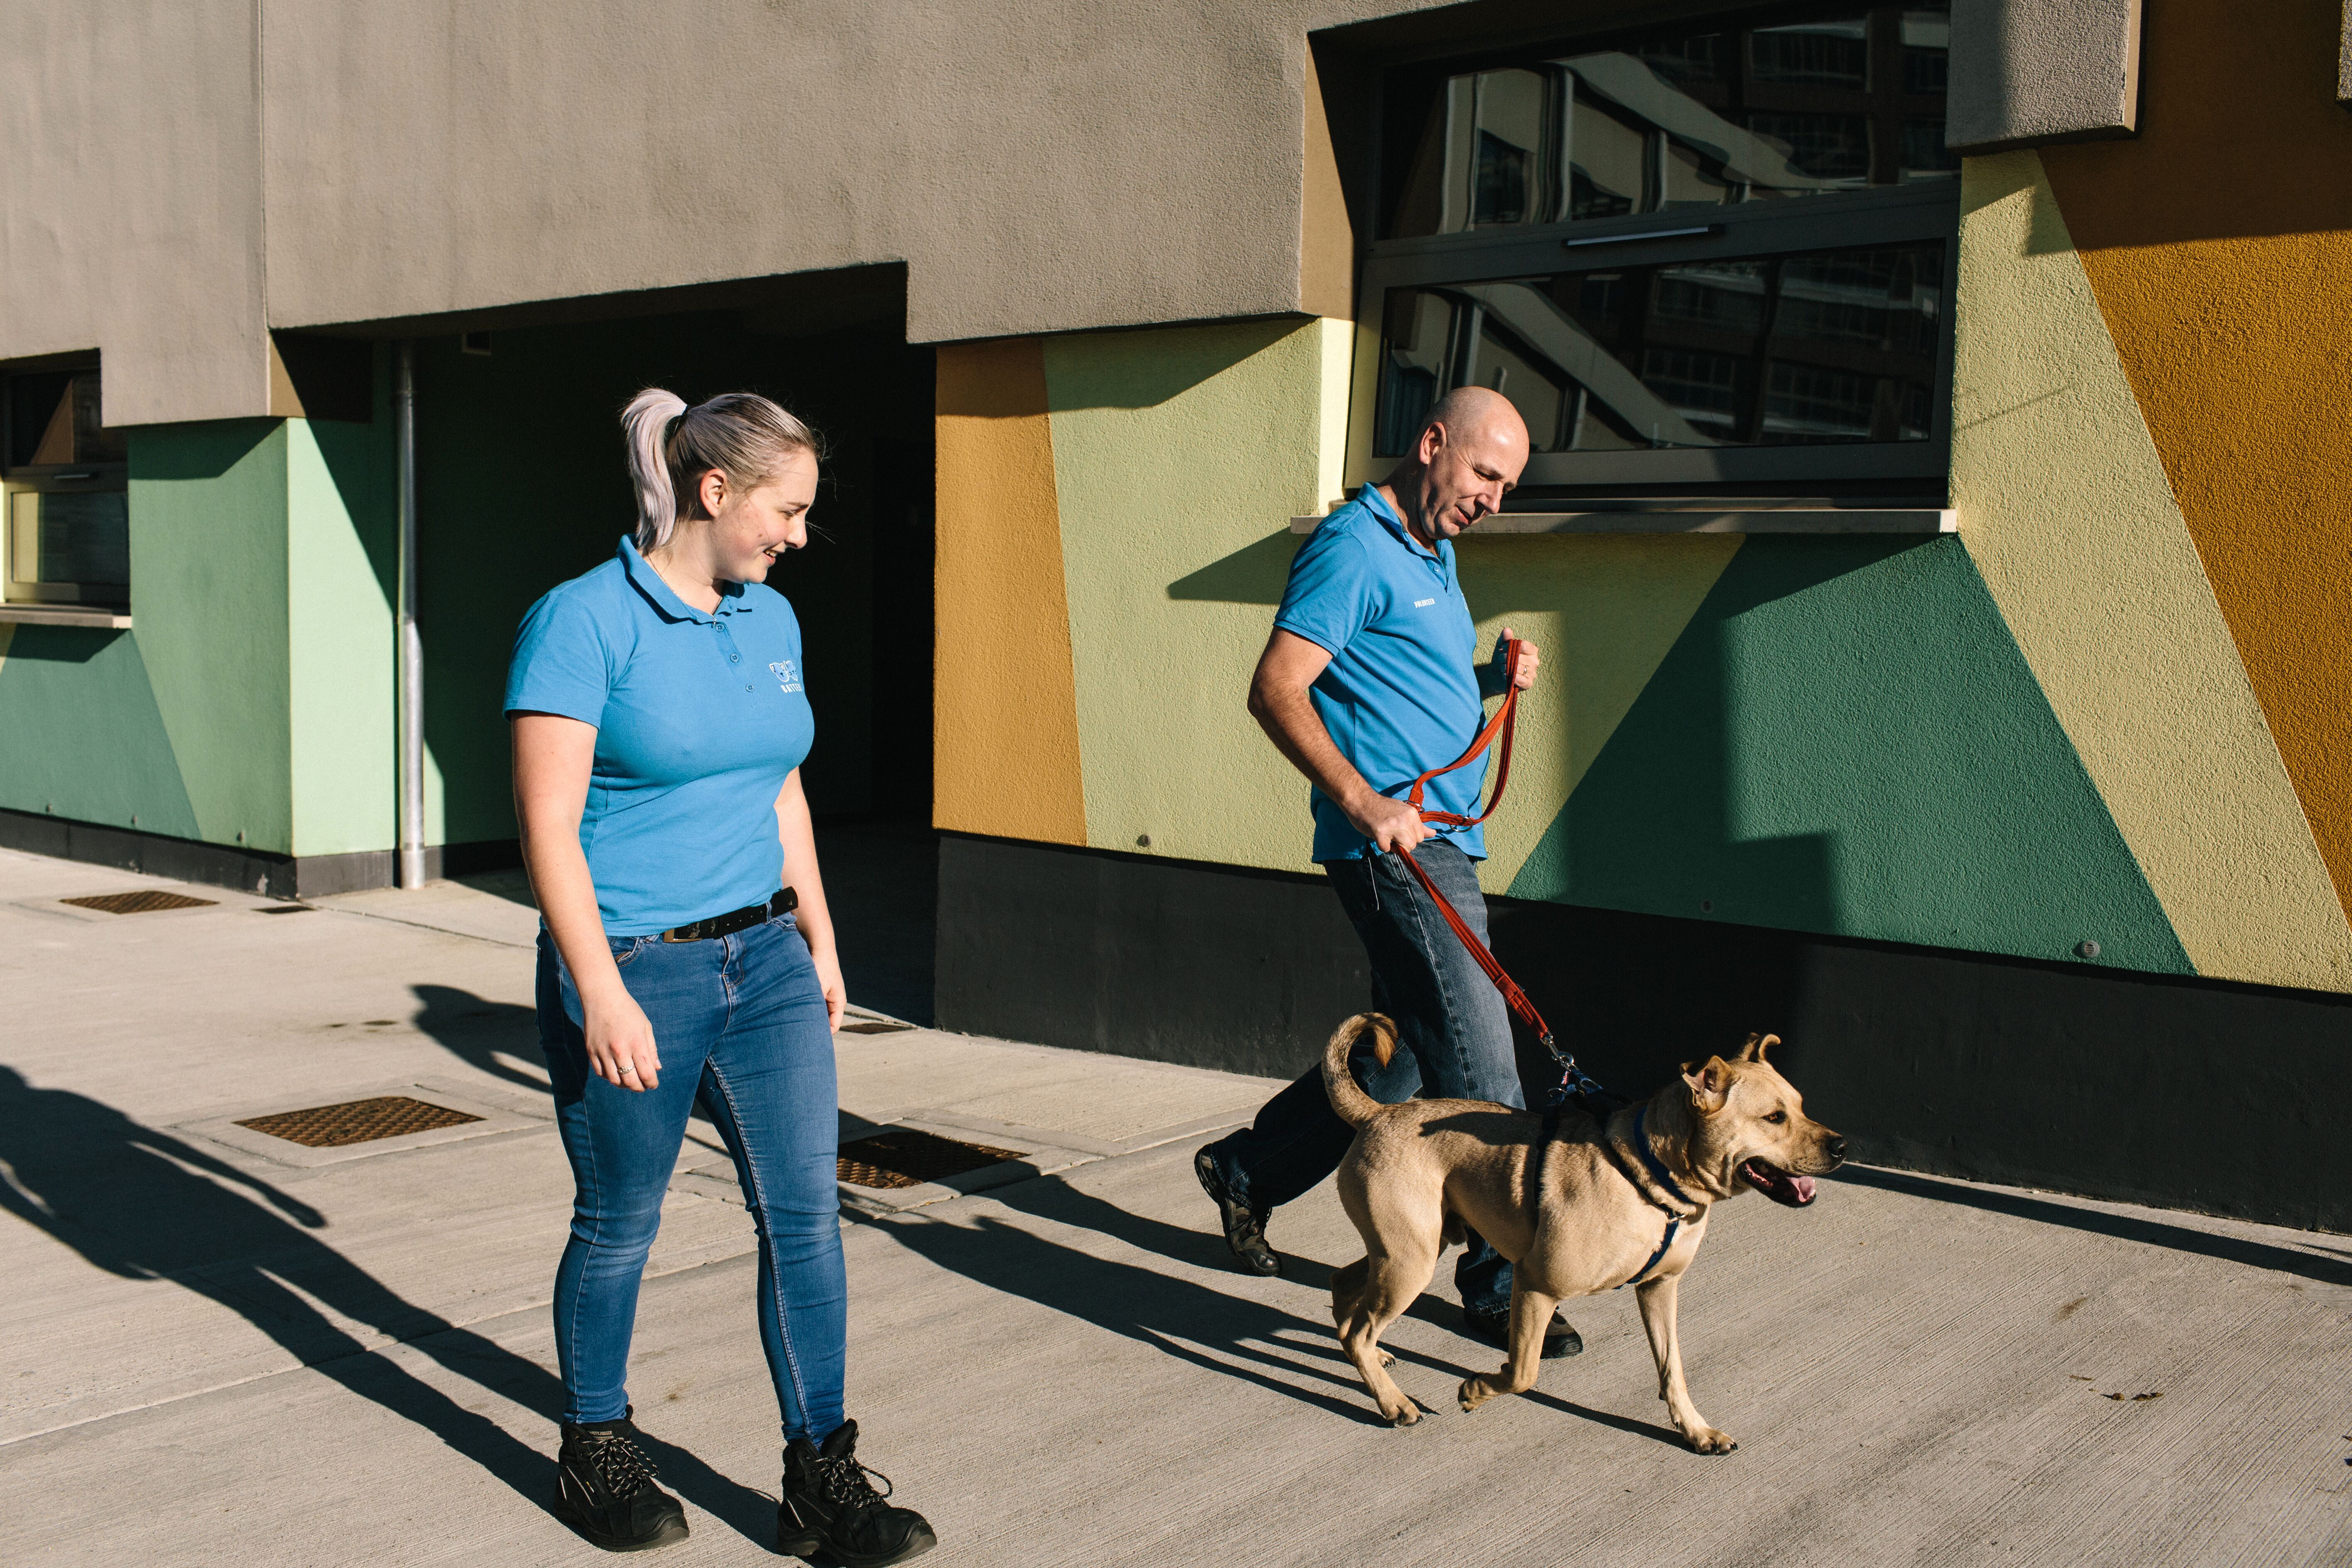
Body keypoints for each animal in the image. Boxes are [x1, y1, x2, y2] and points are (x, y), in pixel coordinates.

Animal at [1326, 1020, 1835, 1448]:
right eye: (1774, 1118)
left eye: (1802, 1107)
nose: (1842, 1145)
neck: (1651, 1176)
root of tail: (1378, 1113)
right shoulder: (1535, 1285)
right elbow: (1523, 1372)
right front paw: (1477, 1388)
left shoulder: (1659, 1289)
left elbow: (1673, 1369)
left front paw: (1694, 1429)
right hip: (1409, 1262)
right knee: (1362, 1328)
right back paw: (1393, 1401)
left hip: (1413, 1248)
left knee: (1347, 1296)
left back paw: (1370, 1360)